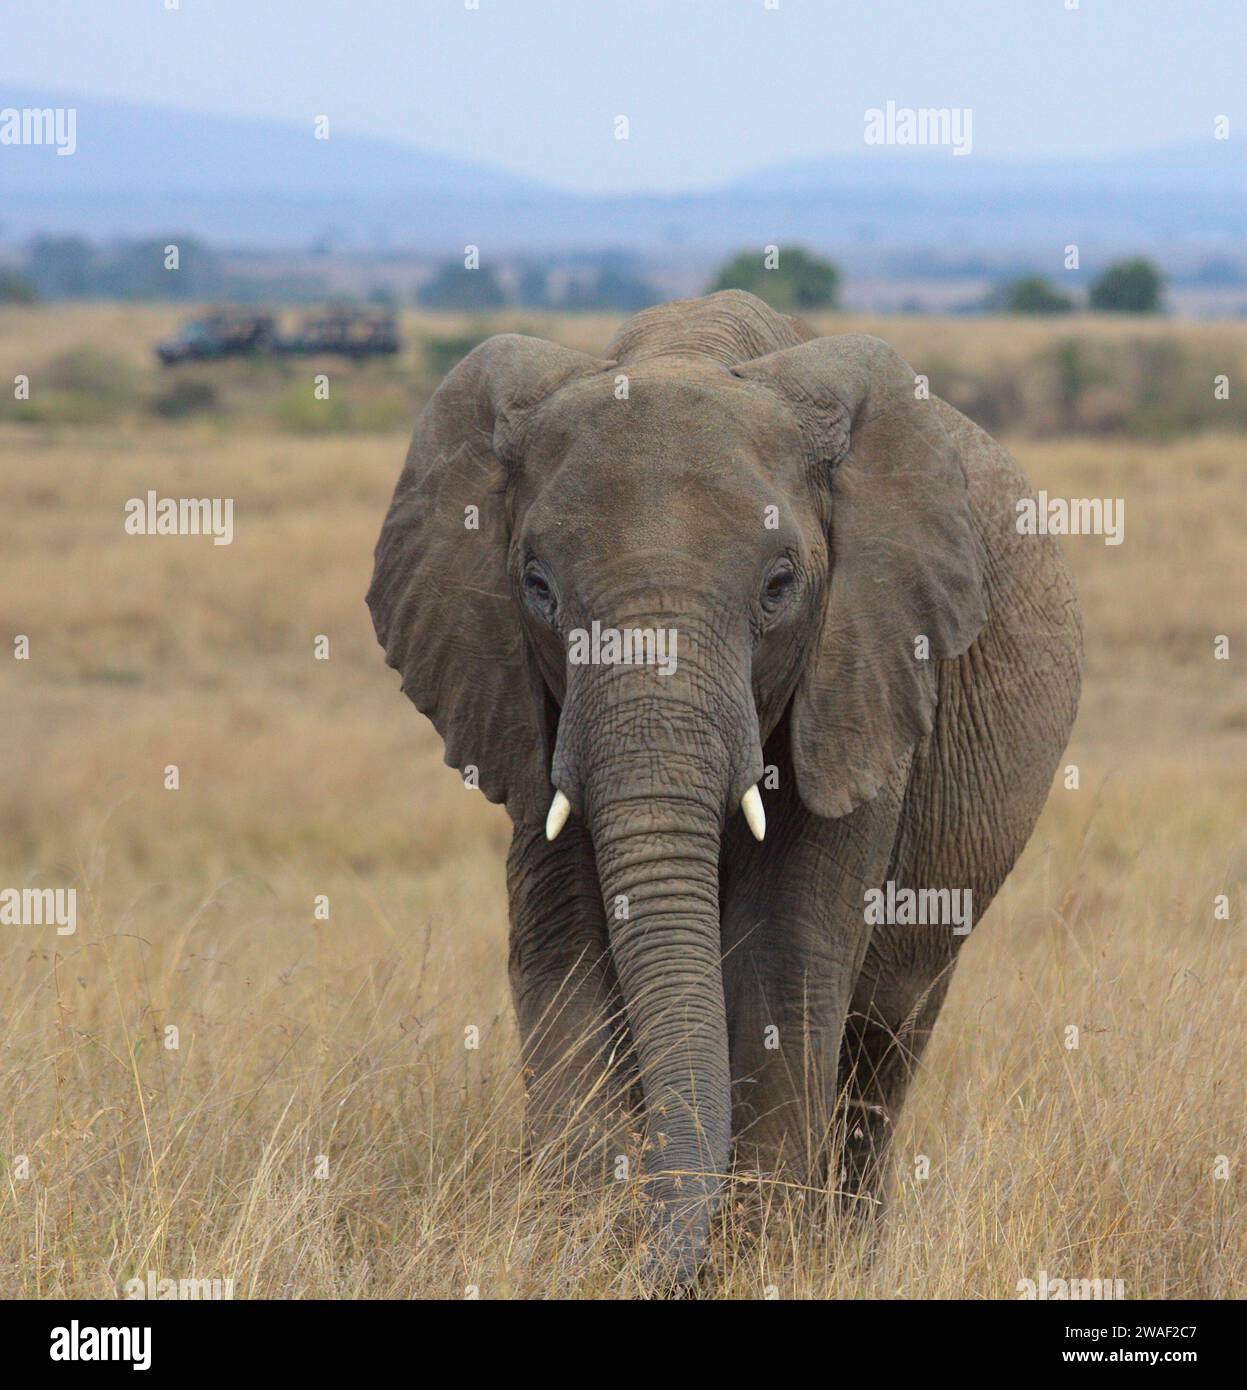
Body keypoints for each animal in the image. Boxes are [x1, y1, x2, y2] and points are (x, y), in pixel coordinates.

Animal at [367, 287, 1078, 1284]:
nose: (669, 1266)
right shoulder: (525, 703)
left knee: (887, 1036)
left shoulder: (865, 673)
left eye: (779, 586)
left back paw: (848, 1248)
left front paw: (764, 1260)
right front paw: (578, 1243)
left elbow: (782, 954)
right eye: (536, 587)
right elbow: (562, 944)